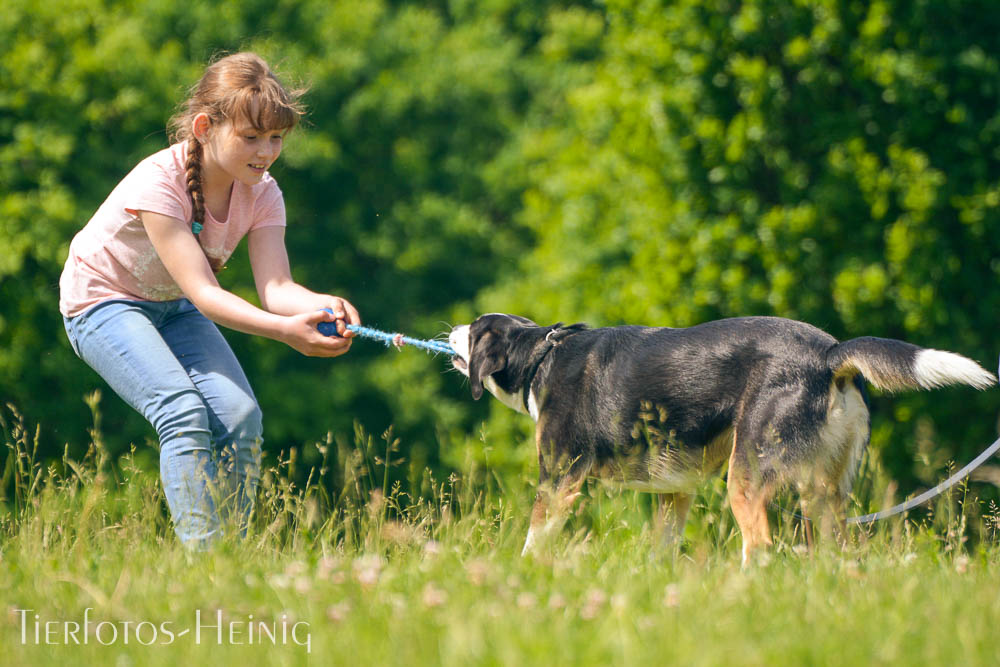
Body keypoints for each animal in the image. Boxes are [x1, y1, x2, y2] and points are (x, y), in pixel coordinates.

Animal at [452, 314, 992, 564]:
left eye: (474, 329)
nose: (451, 328)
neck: (542, 356)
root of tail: (829, 354)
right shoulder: (675, 492)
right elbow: (662, 549)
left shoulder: (559, 481)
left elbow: (533, 541)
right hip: (824, 495)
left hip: (746, 476)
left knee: (762, 547)